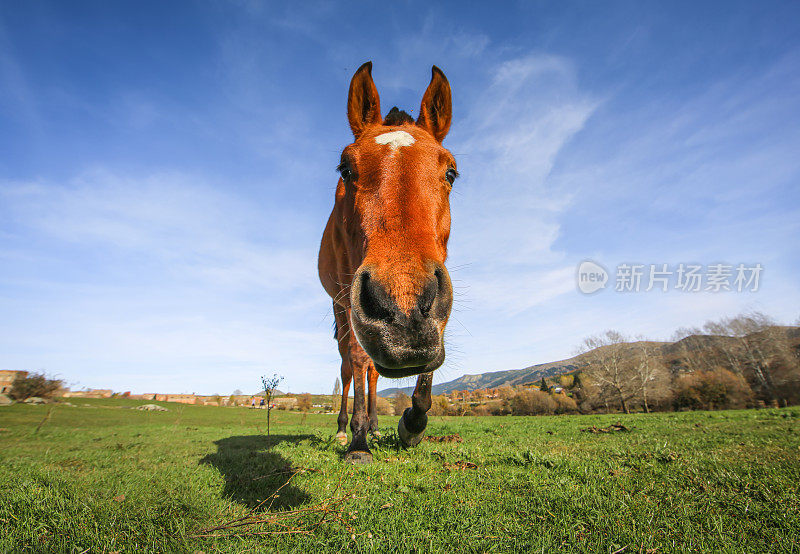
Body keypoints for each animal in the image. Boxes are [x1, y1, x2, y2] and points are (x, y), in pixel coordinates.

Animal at [318, 62, 456, 462]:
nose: (403, 311)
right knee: (350, 366)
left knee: (372, 373)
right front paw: (357, 441)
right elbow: (357, 360)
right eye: (345, 168)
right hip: (340, 306)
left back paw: (376, 426)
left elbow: (433, 343)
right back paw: (346, 429)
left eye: (450, 173)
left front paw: (412, 423)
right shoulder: (349, 296)